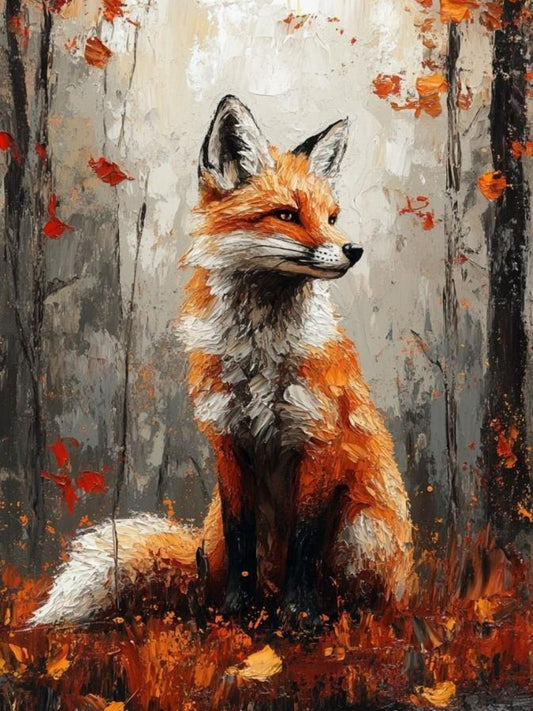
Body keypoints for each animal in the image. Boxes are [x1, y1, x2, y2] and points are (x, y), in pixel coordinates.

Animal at [29, 95, 413, 630]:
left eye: (332, 217)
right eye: (287, 214)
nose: (353, 250)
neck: (259, 357)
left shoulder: (318, 443)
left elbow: (304, 545)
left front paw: (298, 616)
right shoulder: (229, 443)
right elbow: (241, 539)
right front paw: (237, 613)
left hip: (364, 529)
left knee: (359, 593)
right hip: (222, 540)